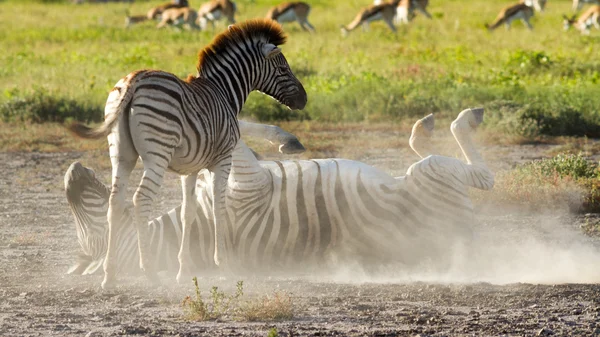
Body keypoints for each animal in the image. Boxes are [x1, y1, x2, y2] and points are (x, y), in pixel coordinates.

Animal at [67, 108, 492, 276]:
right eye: (95, 232)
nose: (71, 172)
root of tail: (466, 238)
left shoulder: (227, 177)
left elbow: (230, 129)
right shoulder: (247, 181)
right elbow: (233, 127)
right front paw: (283, 138)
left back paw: (423, 128)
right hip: (434, 175)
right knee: (480, 174)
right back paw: (457, 120)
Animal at [68, 19, 308, 286]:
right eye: (283, 69)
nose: (304, 99)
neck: (224, 92)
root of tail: (134, 80)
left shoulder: (189, 169)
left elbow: (188, 213)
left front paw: (183, 270)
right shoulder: (223, 160)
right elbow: (218, 209)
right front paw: (224, 265)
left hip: (121, 154)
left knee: (115, 202)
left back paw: (110, 274)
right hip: (157, 154)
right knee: (141, 199)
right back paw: (149, 271)